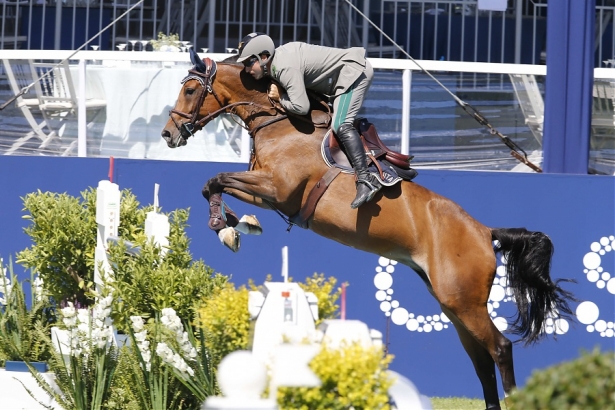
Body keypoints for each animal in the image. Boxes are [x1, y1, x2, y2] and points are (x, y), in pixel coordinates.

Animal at [161, 52, 576, 410]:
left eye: (191, 90)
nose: (168, 134)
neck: (278, 122)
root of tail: (484, 231)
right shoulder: (267, 193)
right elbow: (214, 185)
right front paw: (235, 226)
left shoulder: (277, 188)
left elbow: (216, 179)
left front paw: (226, 226)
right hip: (454, 304)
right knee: (481, 359)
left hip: (464, 303)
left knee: (500, 349)